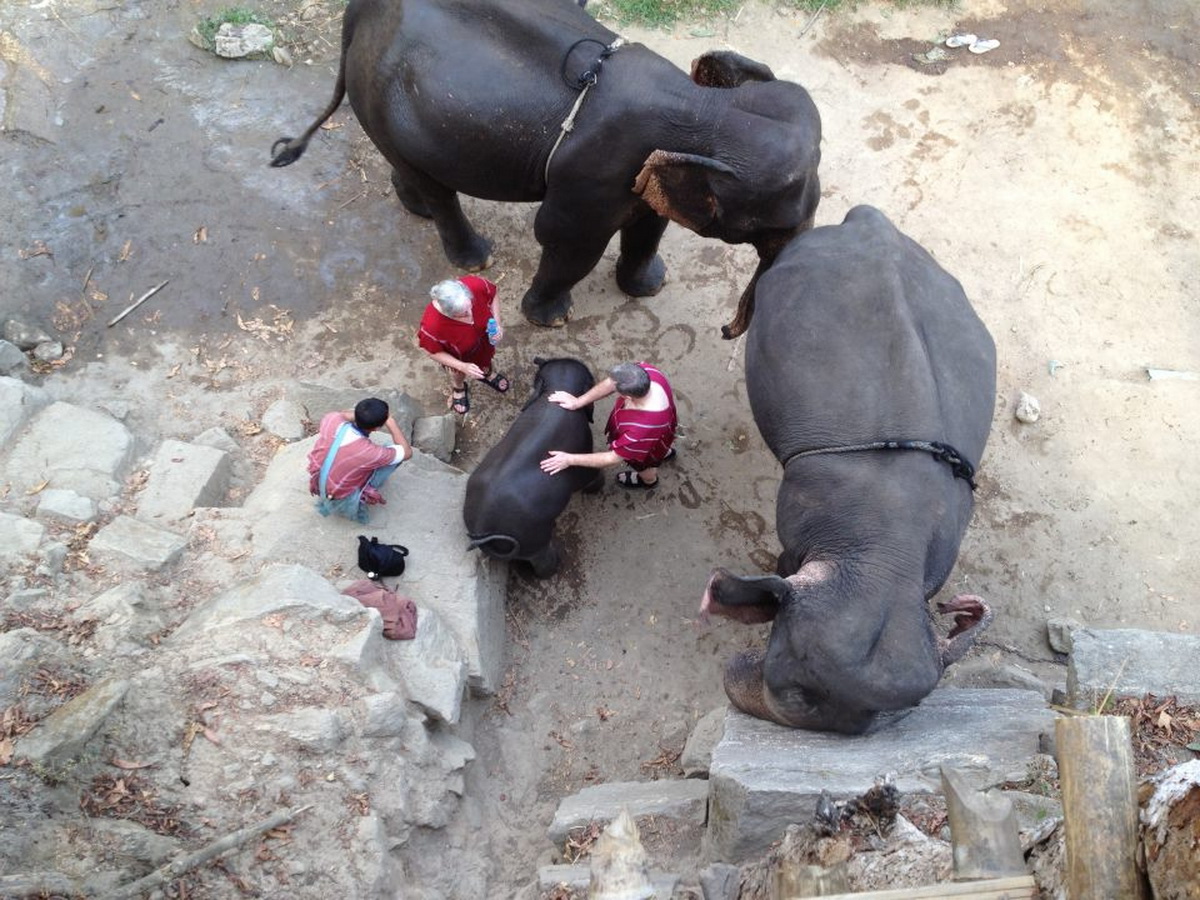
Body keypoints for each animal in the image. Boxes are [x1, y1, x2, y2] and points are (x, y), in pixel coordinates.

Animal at [268, 0, 820, 331]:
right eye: (778, 224)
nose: (727, 330)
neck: (704, 108)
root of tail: (359, 11)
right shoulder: (593, 175)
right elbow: (566, 238)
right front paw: (550, 321)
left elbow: (649, 225)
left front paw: (650, 287)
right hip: (376, 91)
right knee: (440, 191)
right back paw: (473, 258)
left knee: (416, 170)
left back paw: (416, 207)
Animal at [465, 357, 604, 578]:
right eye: (591, 381)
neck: (558, 388)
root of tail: (483, 527)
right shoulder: (583, 449)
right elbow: (589, 473)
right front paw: (596, 488)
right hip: (533, 538)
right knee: (542, 560)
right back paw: (555, 566)